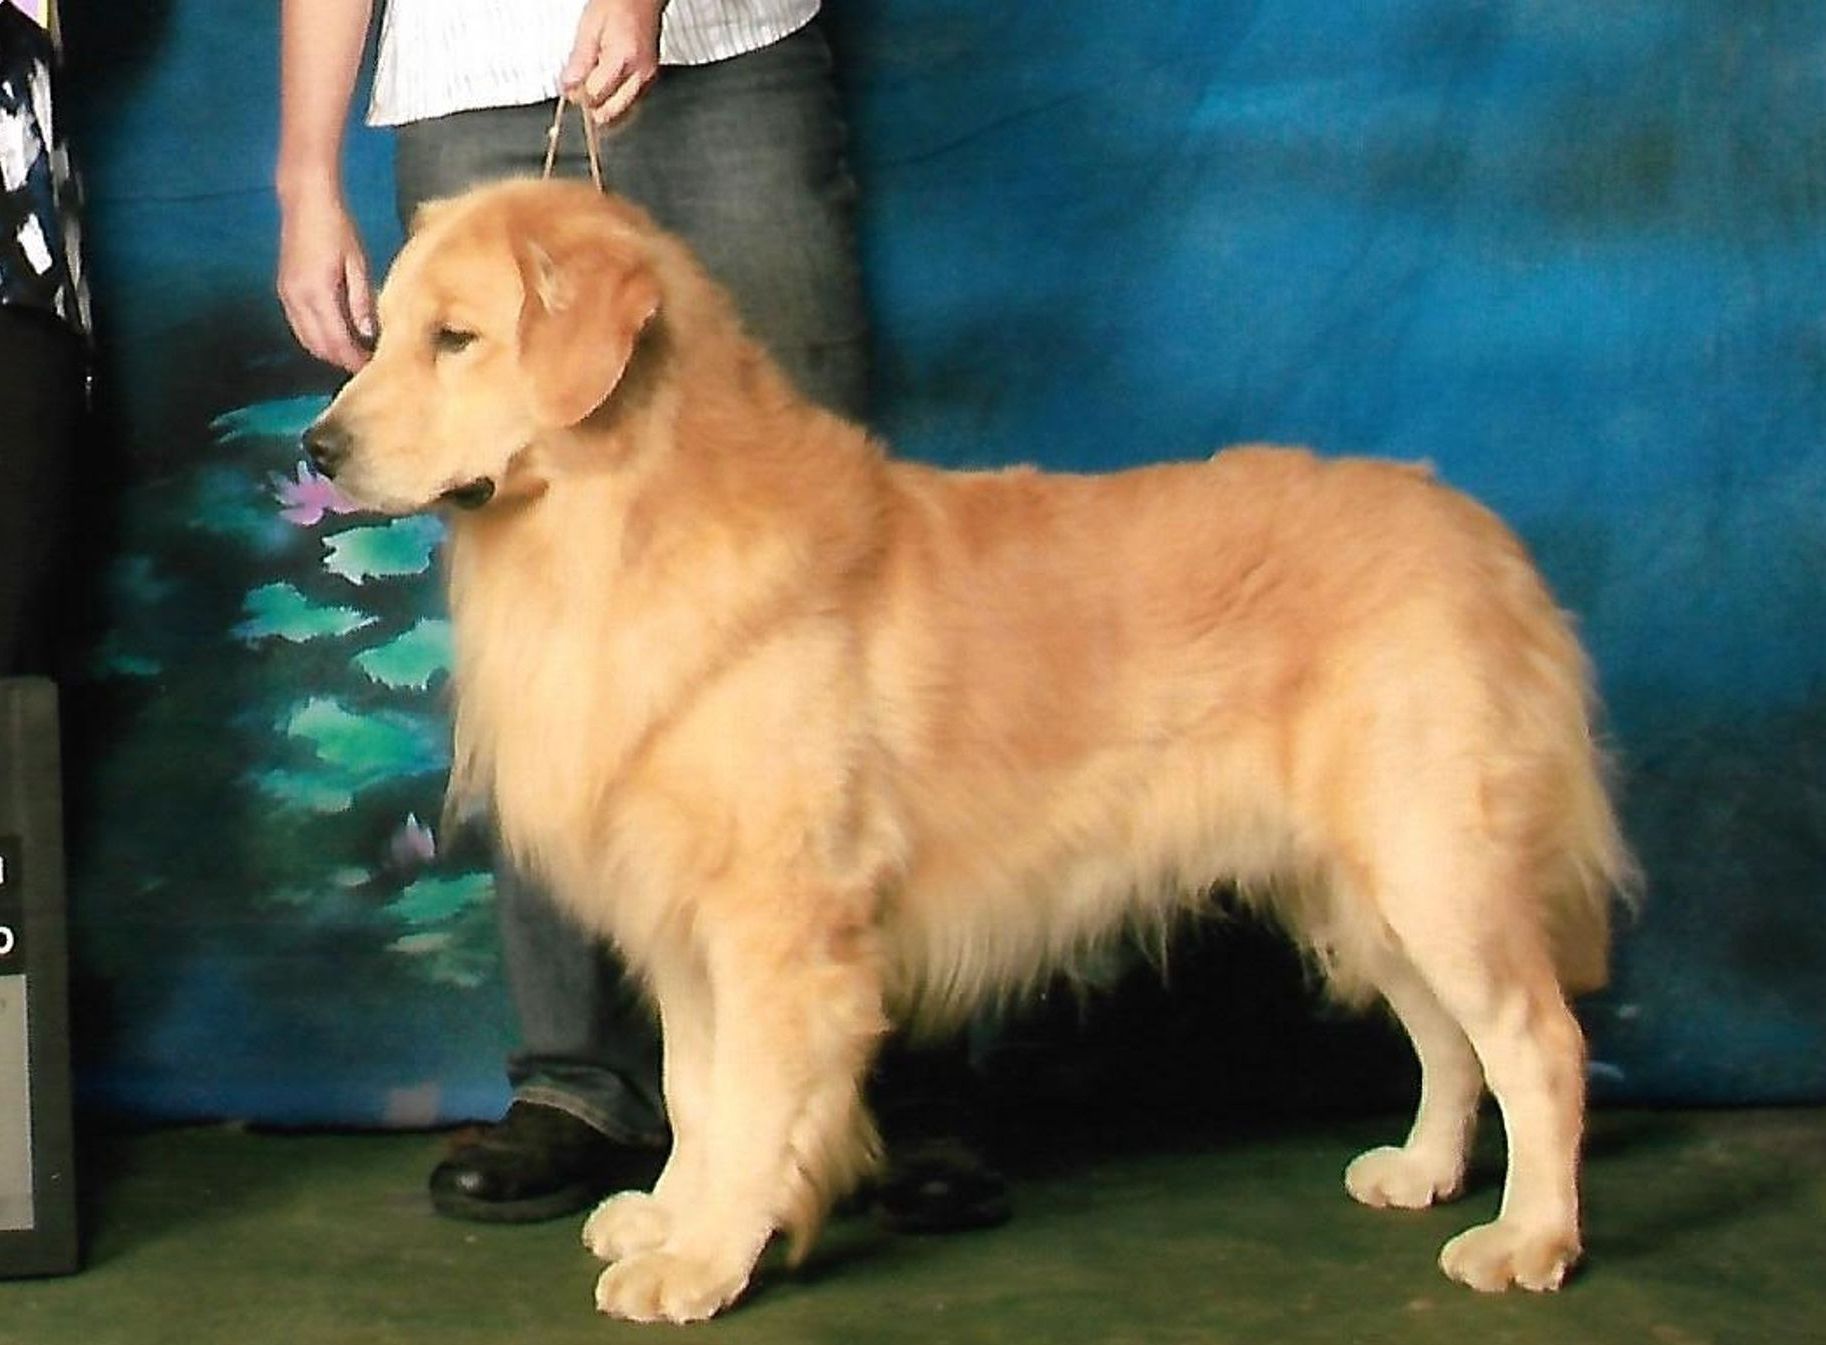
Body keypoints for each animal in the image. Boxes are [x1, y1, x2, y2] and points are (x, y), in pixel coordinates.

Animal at [306, 178, 1636, 1321]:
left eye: (456, 339)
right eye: (383, 330)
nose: (319, 448)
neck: (629, 525)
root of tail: (1483, 535)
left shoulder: (779, 925)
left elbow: (752, 1104)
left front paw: (706, 1257)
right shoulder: (683, 923)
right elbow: (695, 1090)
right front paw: (670, 1217)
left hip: (1433, 862)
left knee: (1536, 1045)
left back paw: (1529, 1237)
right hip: (1357, 886)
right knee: (1446, 1040)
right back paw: (1421, 1171)